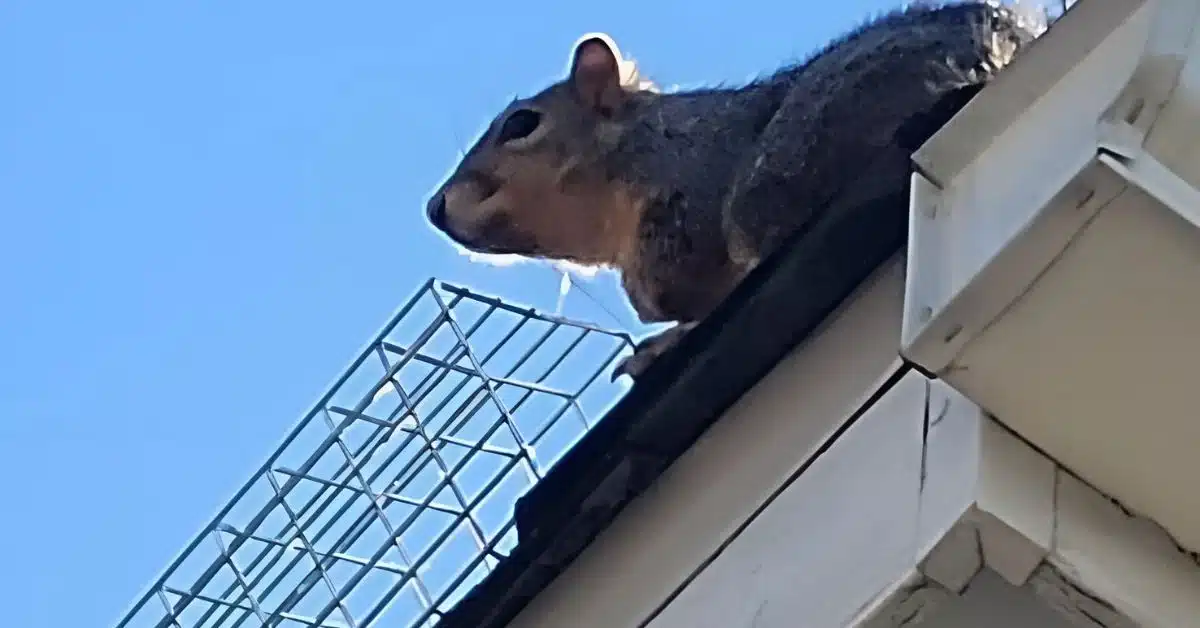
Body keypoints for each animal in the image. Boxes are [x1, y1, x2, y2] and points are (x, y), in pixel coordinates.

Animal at [425, 1, 1047, 380]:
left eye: (520, 124)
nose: (435, 208)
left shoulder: (690, 185)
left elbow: (671, 281)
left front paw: (653, 307)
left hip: (779, 174)